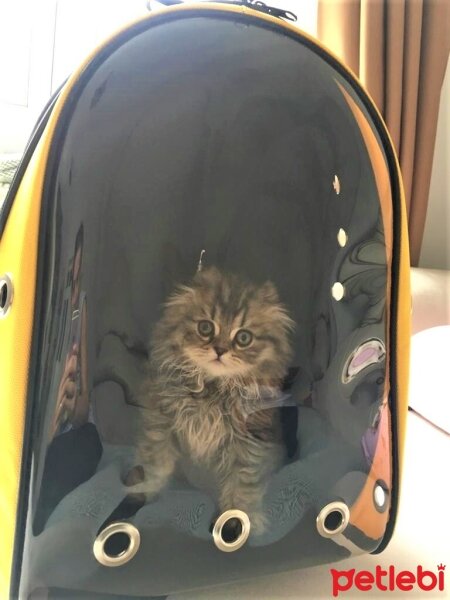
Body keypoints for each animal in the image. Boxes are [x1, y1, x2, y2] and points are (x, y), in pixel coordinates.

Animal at [126, 268, 296, 536]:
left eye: (243, 337)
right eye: (205, 328)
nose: (220, 350)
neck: (212, 390)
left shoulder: (249, 445)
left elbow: (242, 487)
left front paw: (240, 523)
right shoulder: (160, 424)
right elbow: (155, 467)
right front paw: (144, 495)